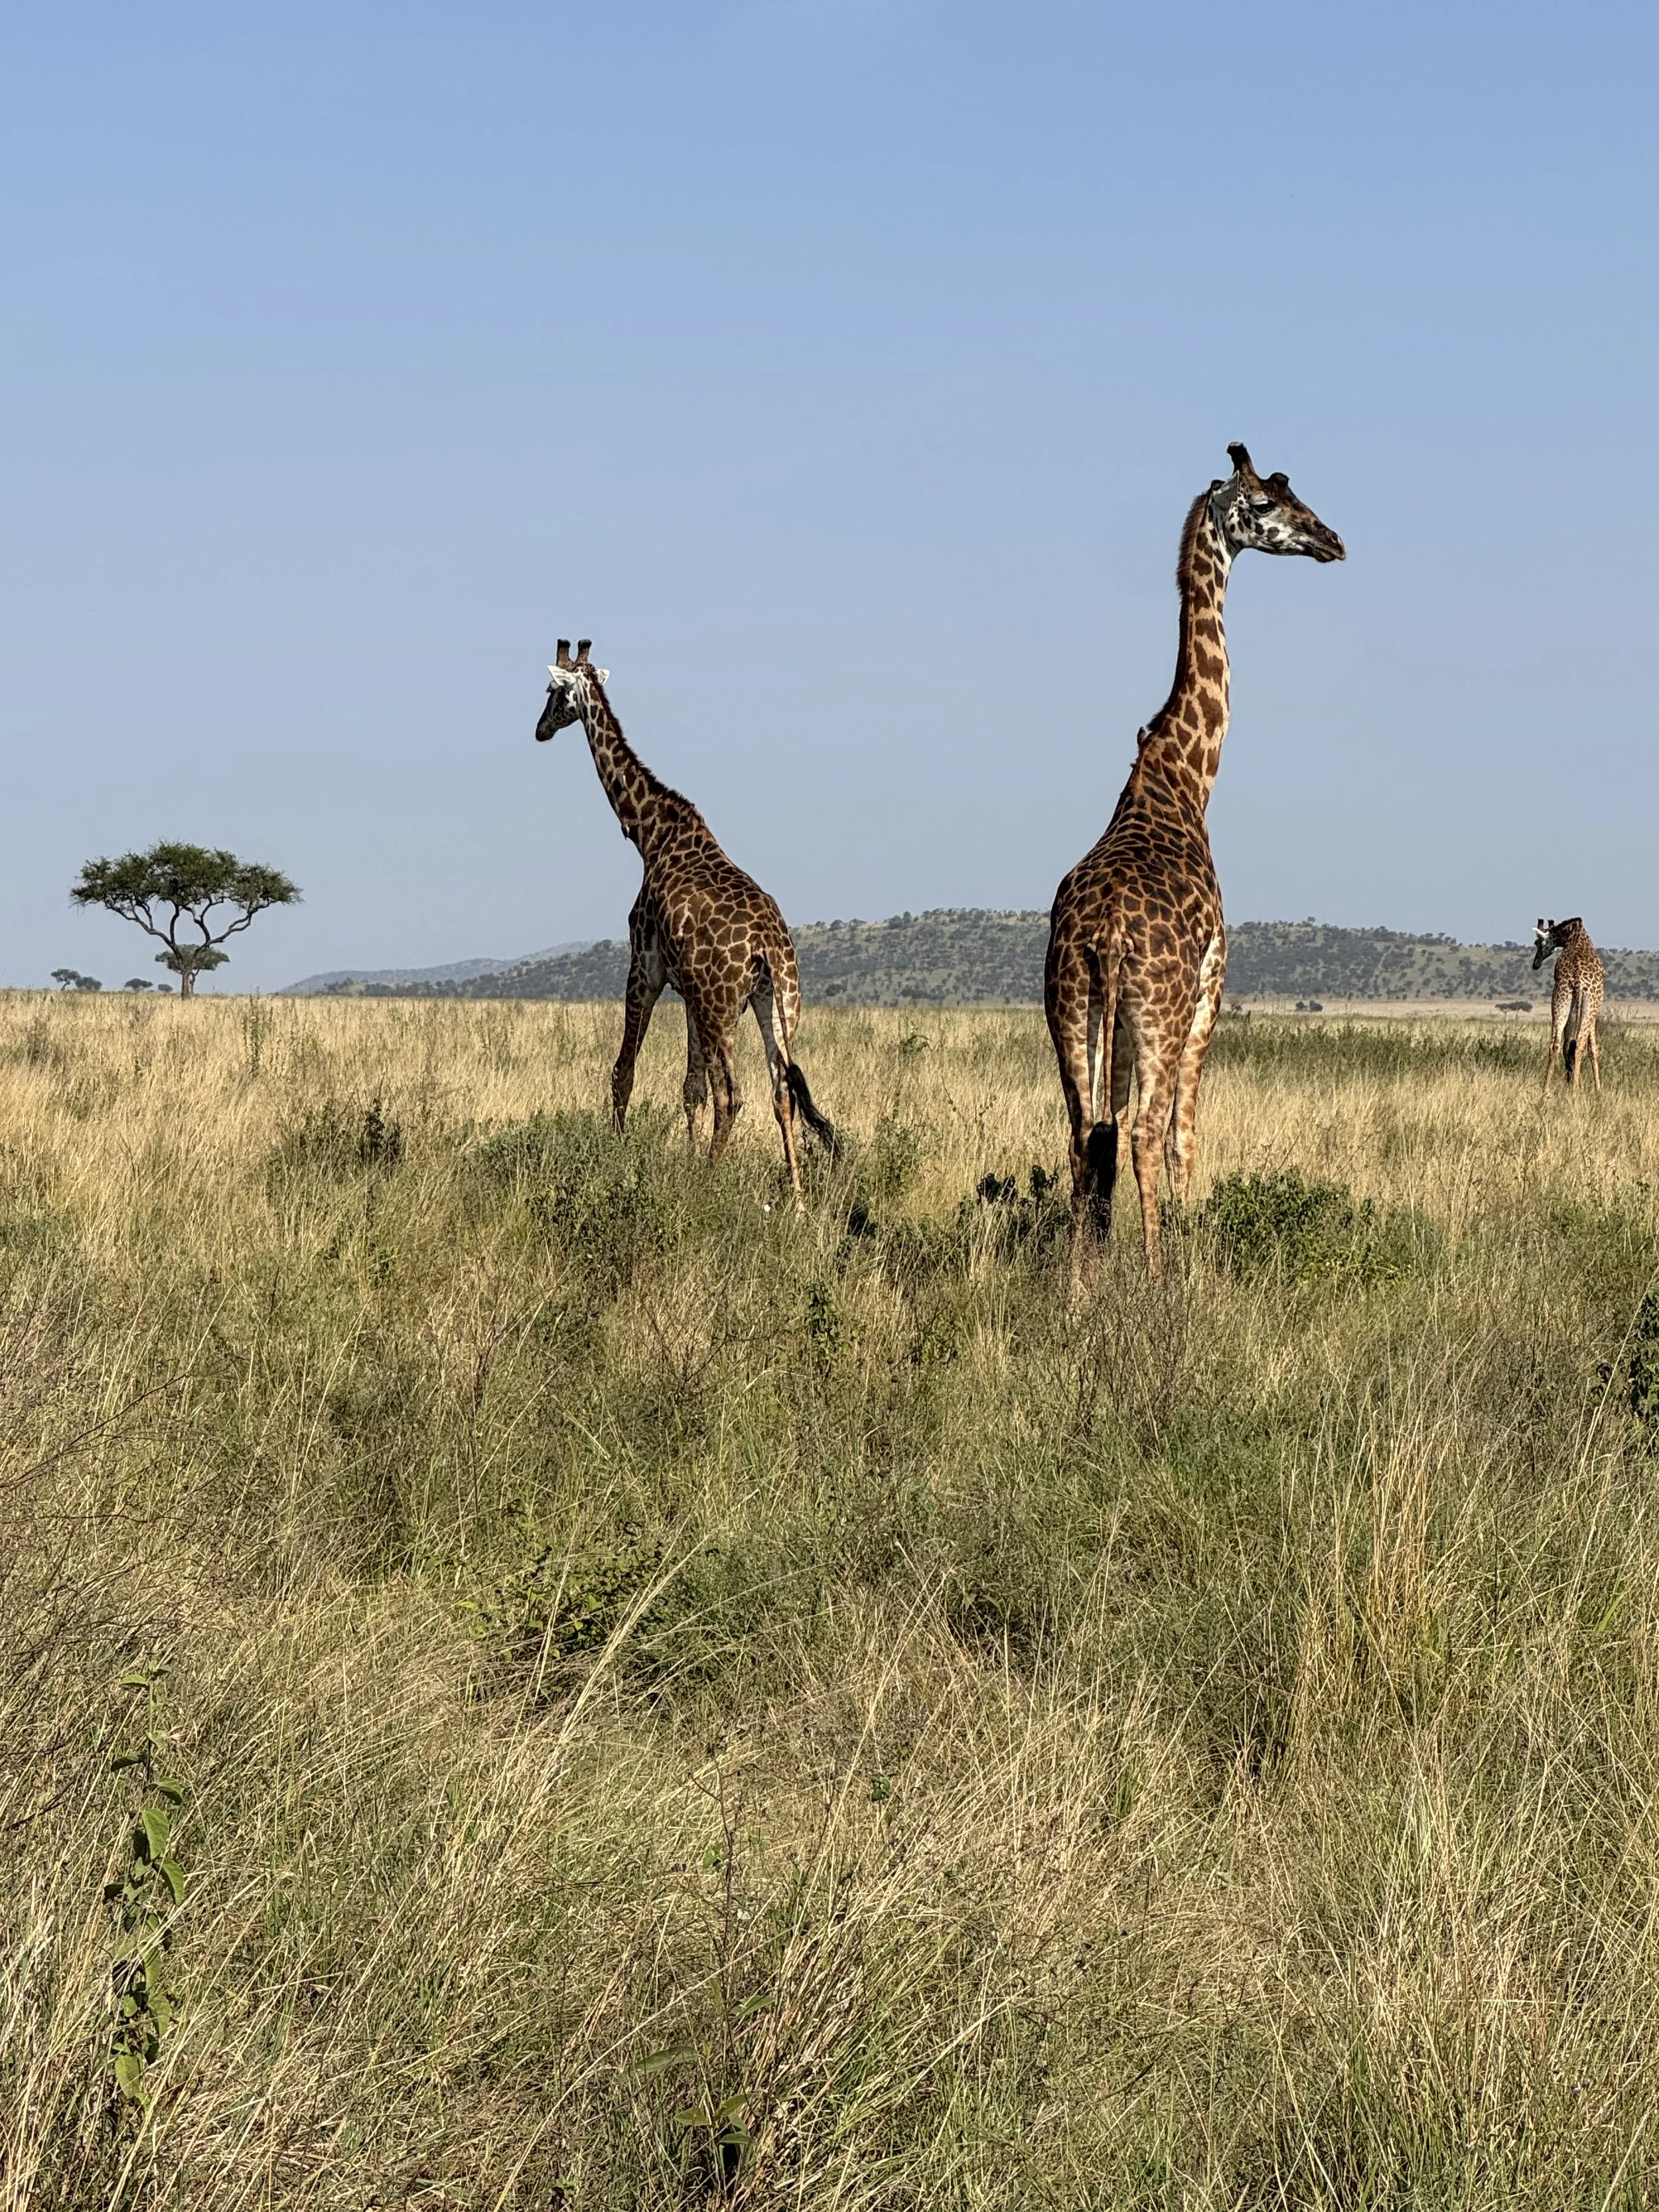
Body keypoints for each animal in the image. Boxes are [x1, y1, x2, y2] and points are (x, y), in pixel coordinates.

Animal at [534, 641, 835, 1198]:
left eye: (550, 691)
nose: (539, 728)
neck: (650, 834)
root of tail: (767, 947)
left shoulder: (646, 967)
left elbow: (623, 1072)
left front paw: (620, 1154)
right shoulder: (689, 991)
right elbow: (690, 1087)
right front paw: (688, 1159)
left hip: (723, 1007)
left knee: (733, 1095)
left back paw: (709, 1186)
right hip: (777, 1003)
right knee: (781, 1091)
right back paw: (798, 1199)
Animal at [1045, 444, 1345, 1282]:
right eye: (1267, 503)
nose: (1332, 541)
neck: (1184, 777)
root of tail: (1105, 936)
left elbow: (1104, 1141)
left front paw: (1099, 1270)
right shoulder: (1215, 981)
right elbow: (1185, 1136)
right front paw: (1182, 1259)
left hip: (1071, 1009)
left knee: (1085, 1135)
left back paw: (1076, 1288)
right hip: (1162, 1012)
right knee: (1148, 1133)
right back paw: (1154, 1280)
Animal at [1533, 916, 1604, 1092]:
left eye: (1537, 943)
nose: (1535, 964)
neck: (1573, 935)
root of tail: (1578, 980)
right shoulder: (1594, 1012)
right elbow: (1593, 1049)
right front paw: (1599, 1089)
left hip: (1560, 1000)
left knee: (1555, 1045)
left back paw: (1546, 1088)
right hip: (1590, 1006)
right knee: (1579, 1044)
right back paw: (1575, 1089)